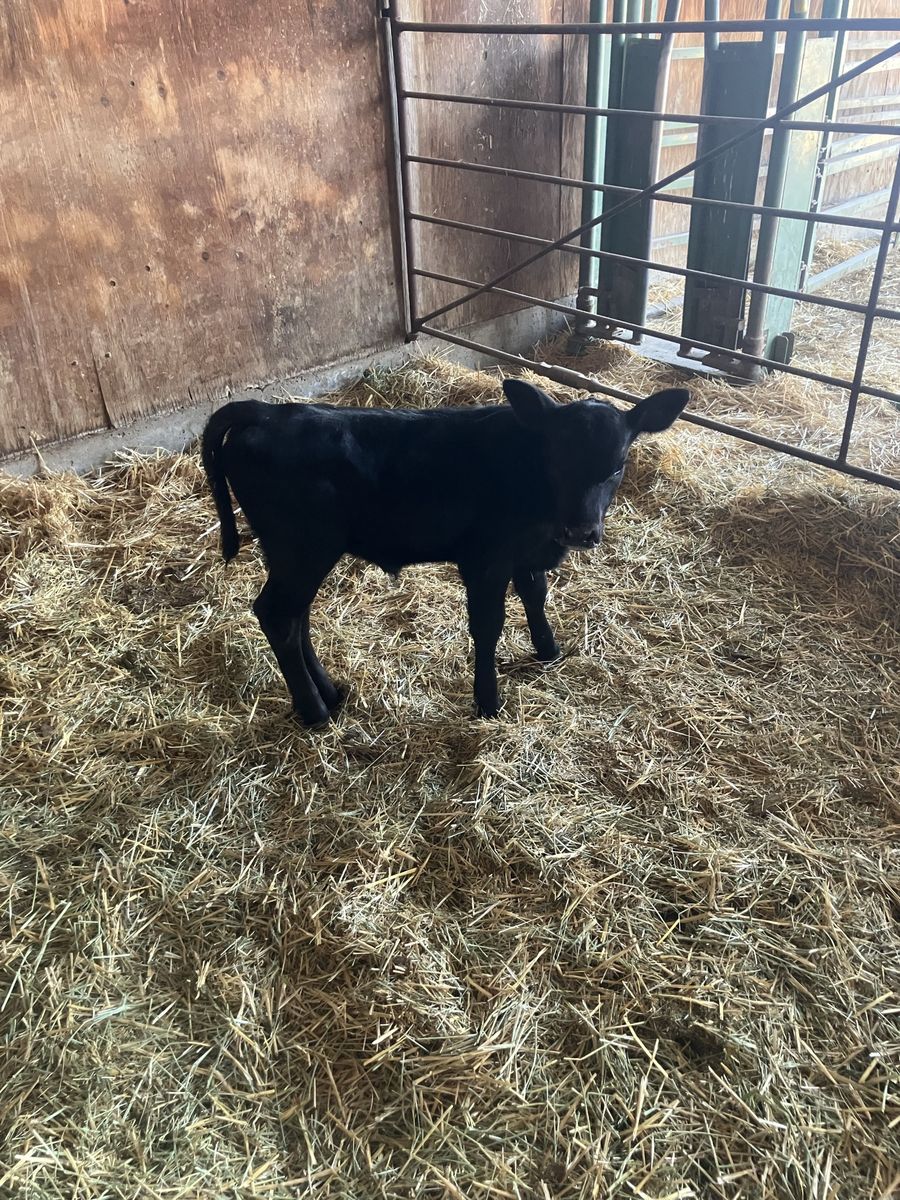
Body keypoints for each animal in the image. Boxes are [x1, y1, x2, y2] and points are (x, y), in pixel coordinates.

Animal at [201, 378, 689, 725]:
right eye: (556, 457)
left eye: (618, 465)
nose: (581, 531)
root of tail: (267, 412)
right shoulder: (486, 560)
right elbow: (488, 626)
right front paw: (488, 702)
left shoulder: (526, 553)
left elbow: (535, 595)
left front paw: (548, 651)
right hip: (303, 547)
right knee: (277, 614)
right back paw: (315, 711)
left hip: (293, 553)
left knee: (296, 615)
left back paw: (330, 692)